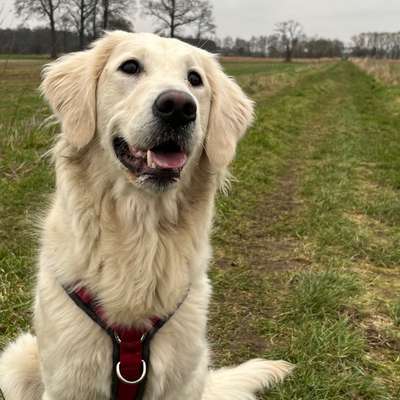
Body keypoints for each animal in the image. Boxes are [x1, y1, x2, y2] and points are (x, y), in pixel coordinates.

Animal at [0, 32, 294, 400]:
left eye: (194, 79)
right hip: (14, 361)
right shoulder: (69, 379)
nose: (179, 106)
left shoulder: (180, 378)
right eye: (130, 67)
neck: (141, 229)